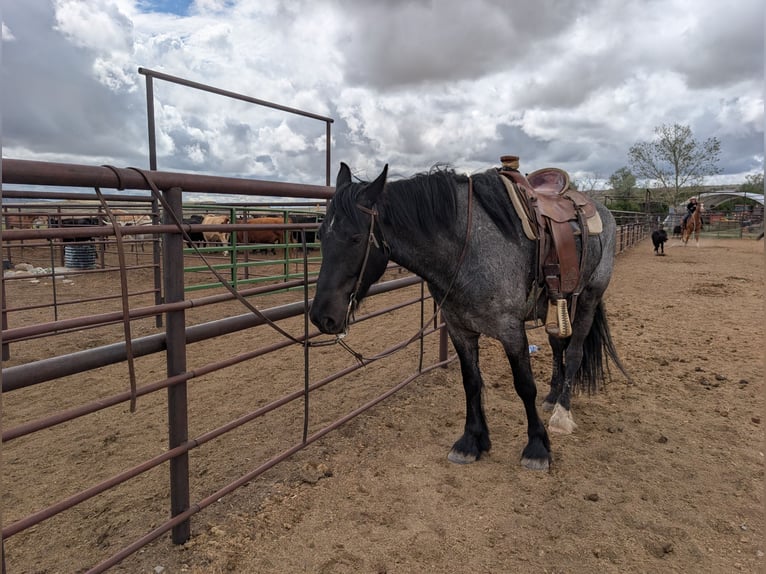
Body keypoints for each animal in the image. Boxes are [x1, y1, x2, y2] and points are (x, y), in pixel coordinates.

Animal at [309, 163, 628, 471]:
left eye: (356, 237)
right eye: (321, 234)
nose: (322, 317)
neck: (468, 247)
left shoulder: (511, 330)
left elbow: (524, 385)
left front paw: (537, 447)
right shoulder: (459, 329)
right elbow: (471, 382)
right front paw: (472, 441)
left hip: (588, 298)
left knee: (573, 353)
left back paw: (562, 412)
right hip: (558, 304)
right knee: (558, 345)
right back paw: (552, 397)